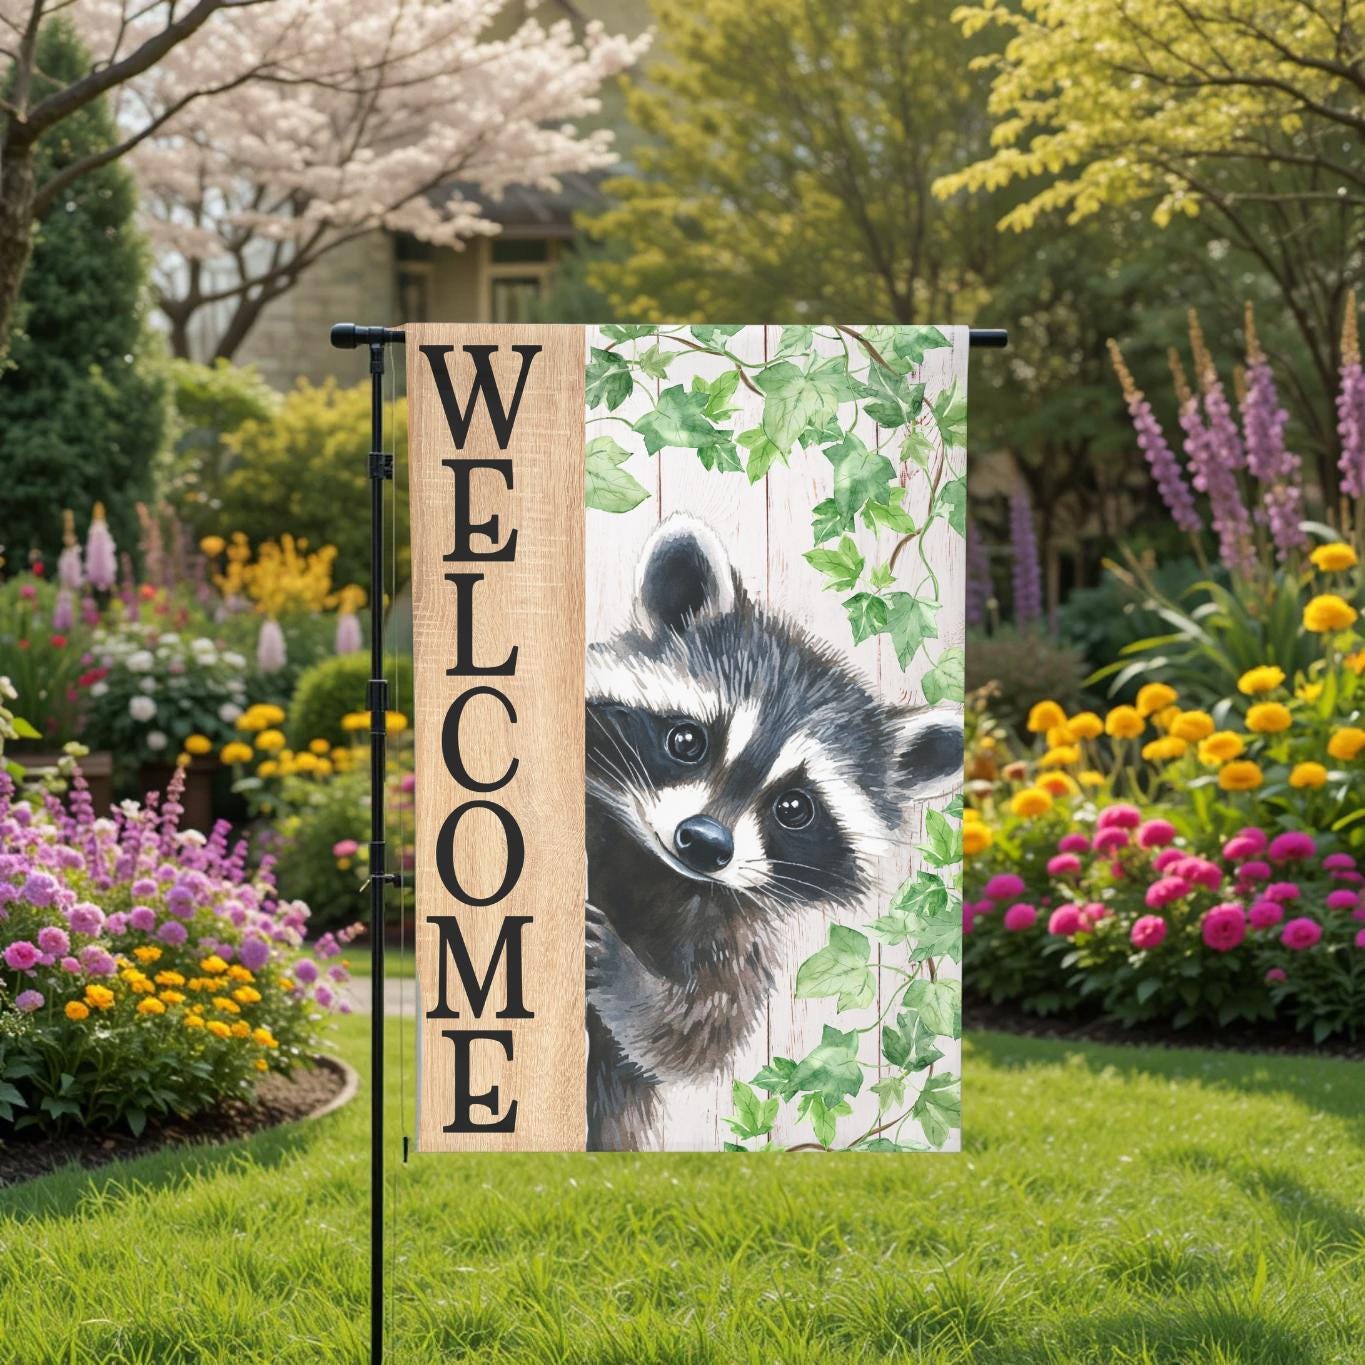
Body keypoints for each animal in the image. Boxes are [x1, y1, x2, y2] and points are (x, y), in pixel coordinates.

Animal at [584, 515, 962, 1151]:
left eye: (794, 807)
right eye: (686, 740)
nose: (705, 842)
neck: (655, 867)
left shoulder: (732, 925)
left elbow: (693, 1036)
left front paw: (626, 977)